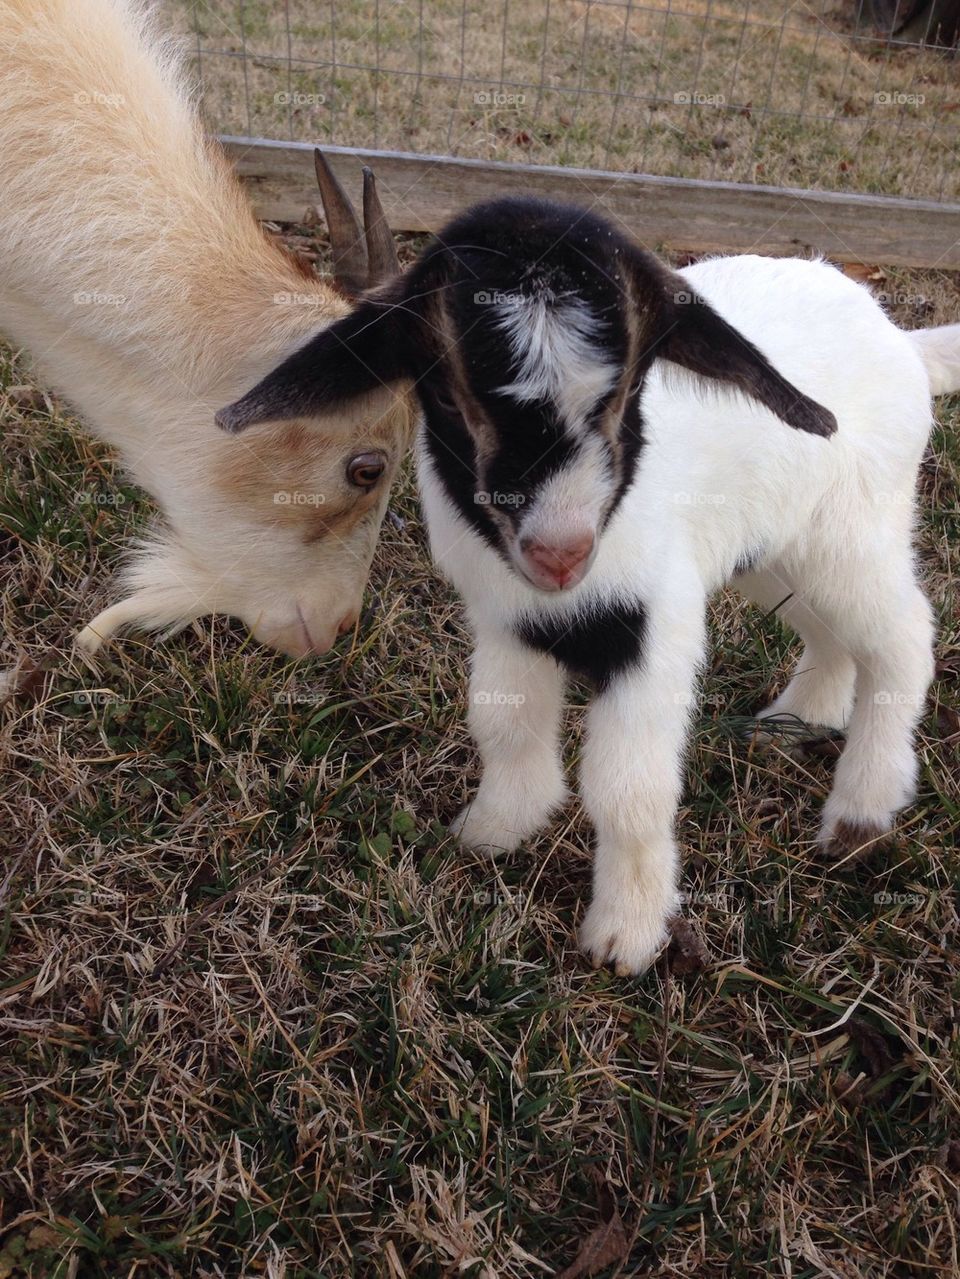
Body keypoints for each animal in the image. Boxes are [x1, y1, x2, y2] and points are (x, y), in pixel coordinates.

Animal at [217, 196, 960, 974]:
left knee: (903, 636)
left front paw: (624, 936)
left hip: (854, 529)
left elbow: (628, 788)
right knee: (831, 629)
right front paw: (494, 828)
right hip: (777, 550)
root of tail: (902, 342)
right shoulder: (504, 618)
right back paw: (797, 720)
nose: (560, 552)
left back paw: (859, 813)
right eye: (446, 393)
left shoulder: (656, 627)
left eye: (631, 387)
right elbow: (503, 723)